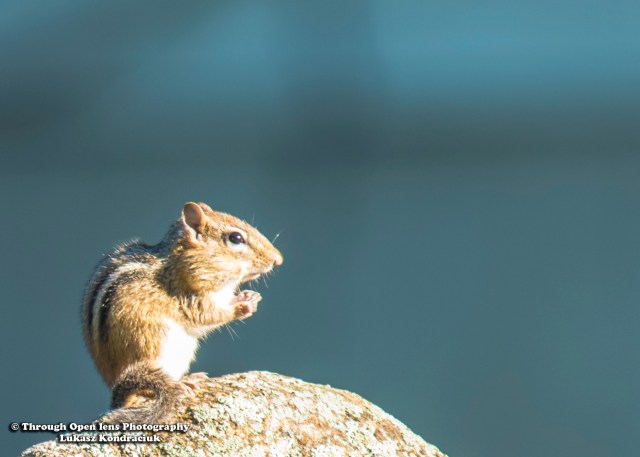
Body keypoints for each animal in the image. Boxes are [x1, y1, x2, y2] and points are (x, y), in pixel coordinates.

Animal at [81, 202, 283, 423]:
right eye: (236, 238)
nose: (278, 260)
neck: (177, 263)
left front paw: (250, 297)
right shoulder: (189, 298)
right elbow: (207, 315)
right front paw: (242, 306)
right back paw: (179, 385)